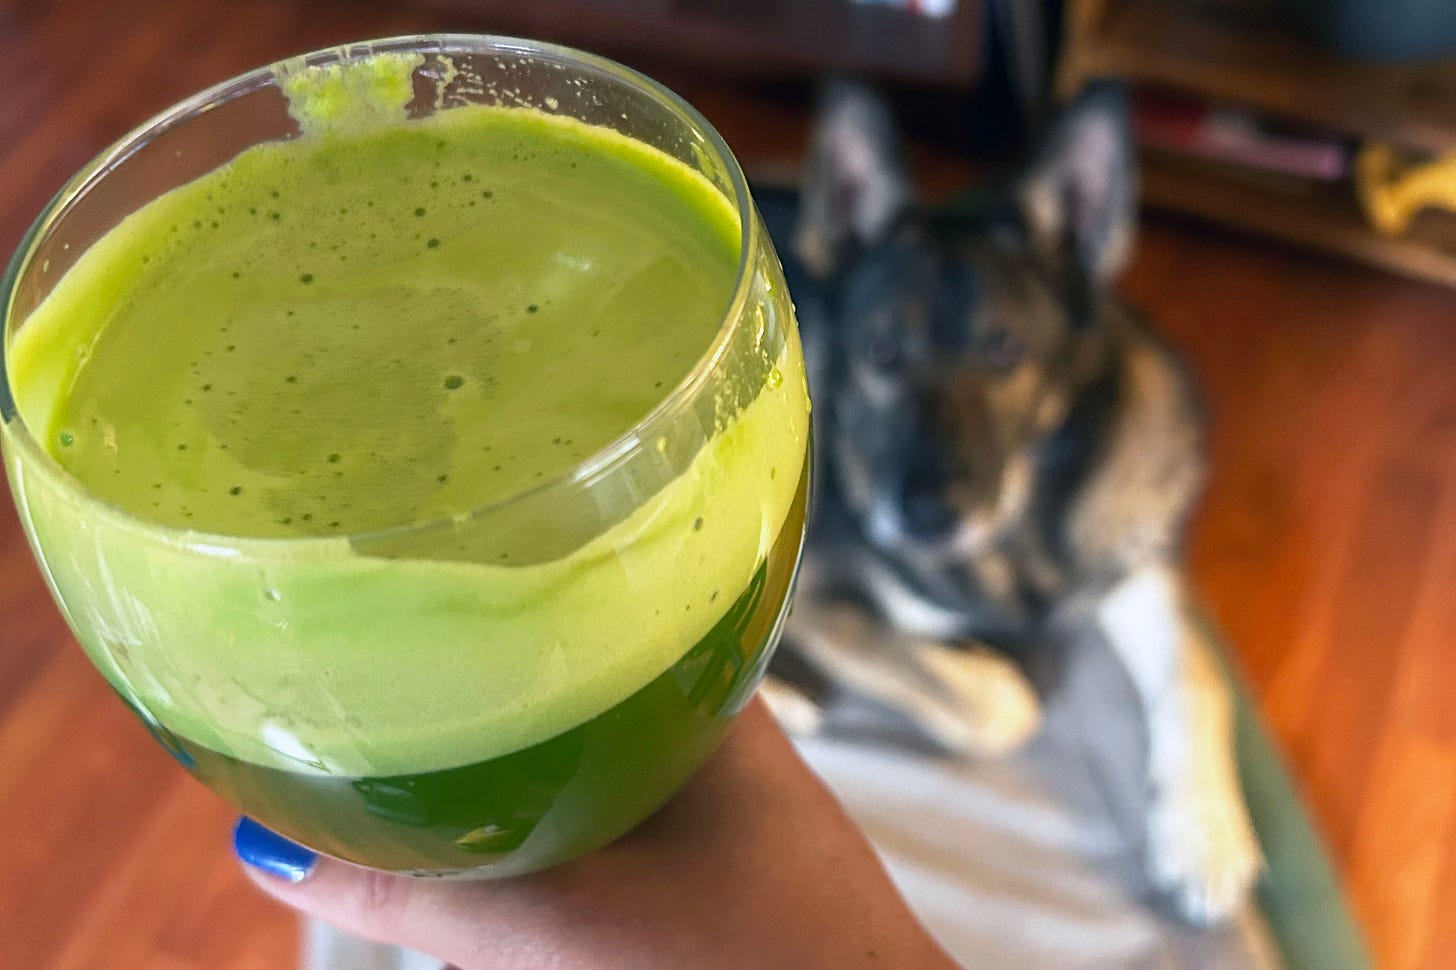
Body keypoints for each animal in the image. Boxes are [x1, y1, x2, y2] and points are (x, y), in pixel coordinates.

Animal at [762, 87, 1263, 926]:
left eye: (1006, 351)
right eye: (880, 354)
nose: (927, 513)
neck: (1023, 527)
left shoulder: (1133, 572)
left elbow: (1198, 679)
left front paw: (1202, 834)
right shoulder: (823, 600)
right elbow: (998, 707)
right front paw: (991, 668)